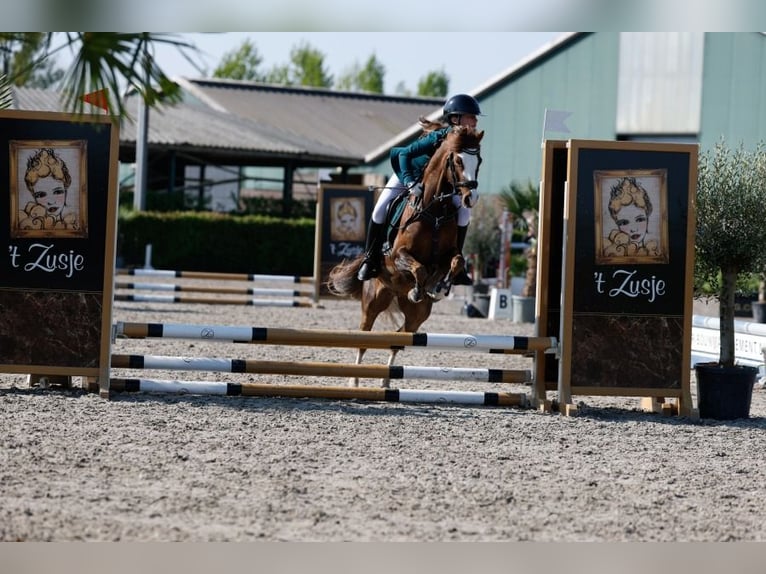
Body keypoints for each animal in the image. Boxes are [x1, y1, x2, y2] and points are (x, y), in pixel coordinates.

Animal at [327, 125, 484, 387]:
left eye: (478, 160)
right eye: (458, 160)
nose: (470, 198)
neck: (435, 210)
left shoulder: (446, 257)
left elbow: (457, 261)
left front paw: (439, 287)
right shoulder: (399, 255)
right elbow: (418, 267)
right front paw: (418, 290)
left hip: (417, 315)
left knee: (398, 337)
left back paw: (386, 381)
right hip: (373, 299)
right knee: (364, 336)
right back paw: (355, 381)